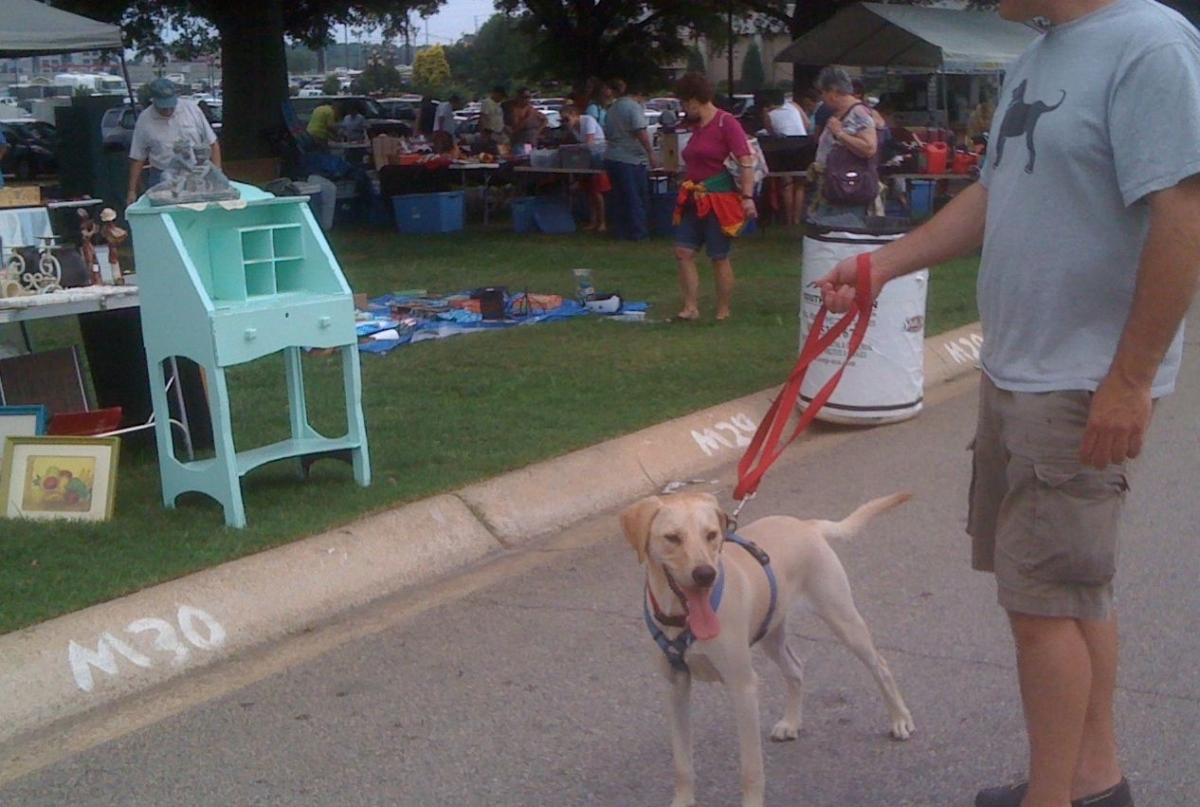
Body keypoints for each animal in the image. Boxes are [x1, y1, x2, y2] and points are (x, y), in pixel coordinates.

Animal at [624, 492, 912, 806]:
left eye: (711, 535)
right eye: (672, 538)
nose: (705, 574)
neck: (681, 618)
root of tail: (807, 525)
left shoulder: (743, 687)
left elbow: (751, 767)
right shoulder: (675, 687)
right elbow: (681, 763)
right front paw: (683, 801)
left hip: (843, 619)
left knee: (880, 665)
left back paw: (900, 719)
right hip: (771, 635)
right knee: (796, 669)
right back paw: (791, 722)